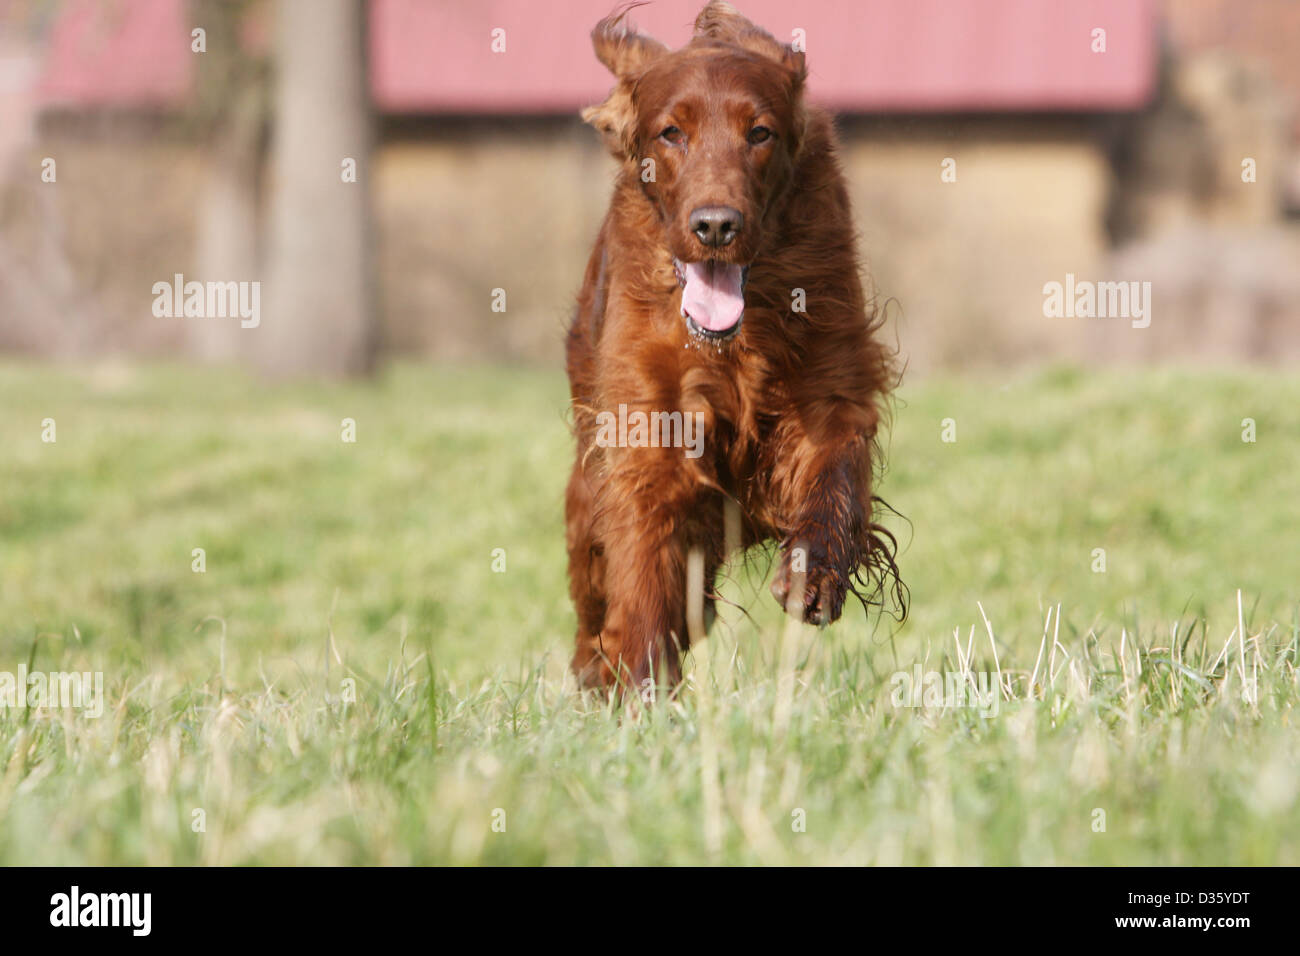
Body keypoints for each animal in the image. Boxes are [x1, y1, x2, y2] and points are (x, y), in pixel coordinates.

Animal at [569, 3, 904, 697]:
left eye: (760, 133)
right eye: (671, 133)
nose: (716, 226)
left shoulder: (832, 386)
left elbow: (835, 473)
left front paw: (813, 574)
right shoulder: (647, 430)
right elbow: (641, 566)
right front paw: (641, 689)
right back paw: (596, 667)